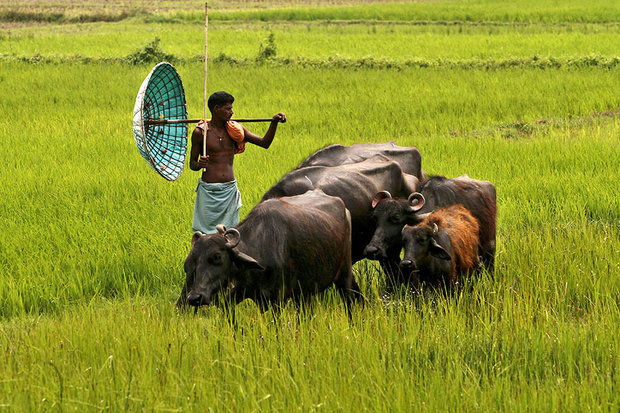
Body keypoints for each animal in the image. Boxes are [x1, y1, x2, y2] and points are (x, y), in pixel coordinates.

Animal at [176, 189, 358, 308]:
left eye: (217, 257)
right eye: (190, 263)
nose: (194, 297)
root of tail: (344, 207)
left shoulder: (277, 299)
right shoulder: (239, 293)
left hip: (344, 274)